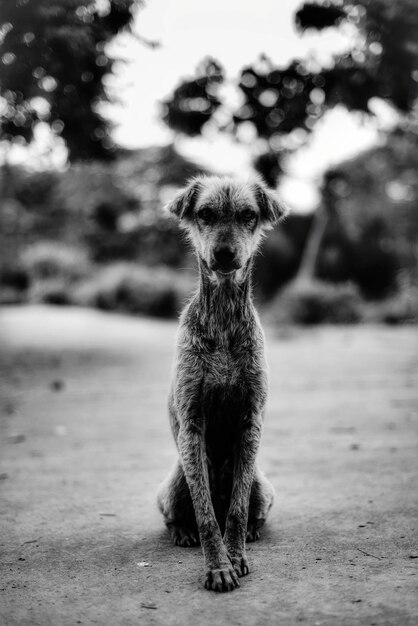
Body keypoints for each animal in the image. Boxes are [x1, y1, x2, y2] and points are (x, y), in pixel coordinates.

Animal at [157, 174, 288, 588]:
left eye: (248, 215)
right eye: (205, 214)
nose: (226, 253)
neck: (225, 318)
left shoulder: (250, 421)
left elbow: (235, 509)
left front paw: (236, 555)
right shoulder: (192, 423)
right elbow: (206, 516)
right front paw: (217, 566)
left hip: (263, 484)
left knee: (252, 507)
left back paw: (253, 531)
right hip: (174, 482)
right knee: (176, 514)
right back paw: (183, 533)